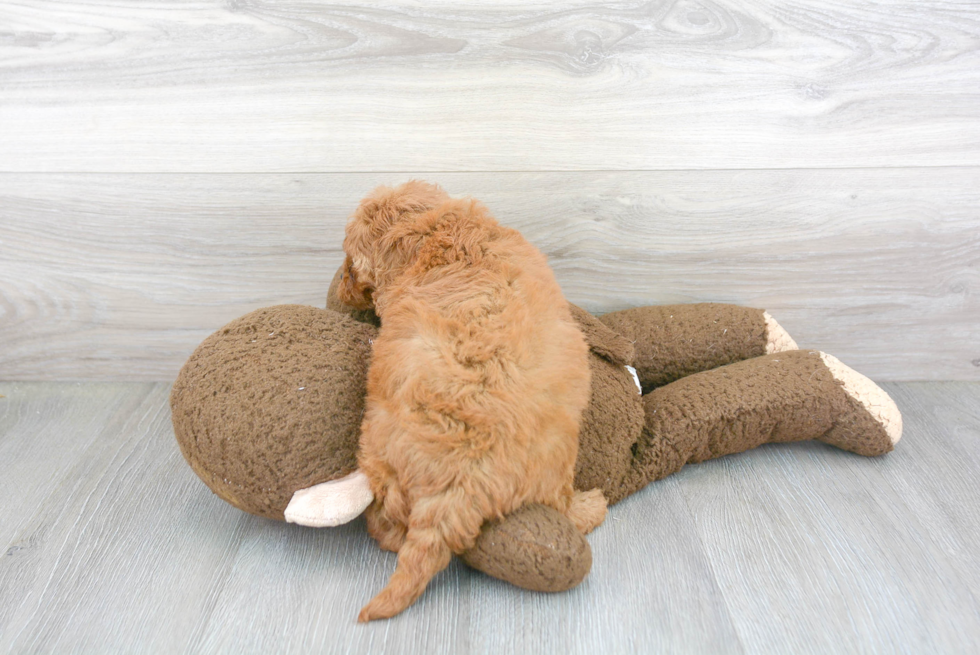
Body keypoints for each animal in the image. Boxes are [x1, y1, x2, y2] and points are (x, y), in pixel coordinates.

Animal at [340, 182, 608, 624]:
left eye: (350, 261)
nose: (342, 286)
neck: (436, 230)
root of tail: (455, 489)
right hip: (557, 463)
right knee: (564, 505)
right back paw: (593, 506)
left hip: (378, 455)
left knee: (385, 525)